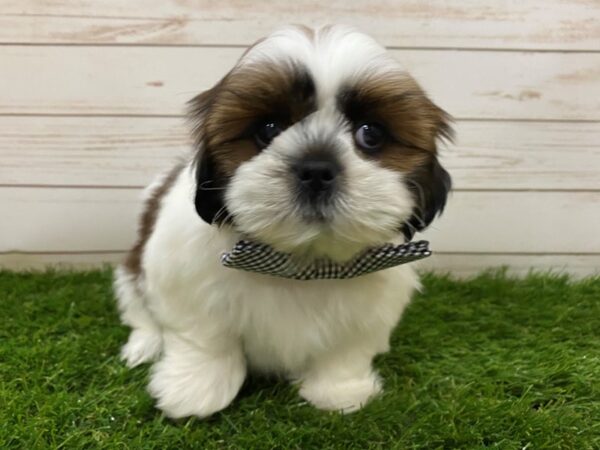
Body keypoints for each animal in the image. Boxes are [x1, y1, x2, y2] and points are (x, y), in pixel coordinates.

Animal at [113, 24, 450, 418]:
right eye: (268, 128)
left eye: (371, 133)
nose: (316, 169)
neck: (300, 262)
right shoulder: (186, 286)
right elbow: (205, 338)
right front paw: (195, 390)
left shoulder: (368, 313)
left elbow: (345, 351)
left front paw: (339, 392)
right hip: (131, 275)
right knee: (141, 313)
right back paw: (145, 346)